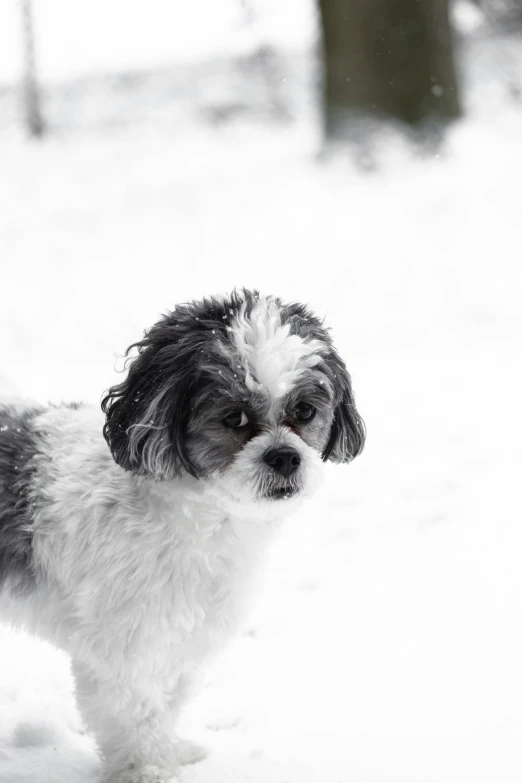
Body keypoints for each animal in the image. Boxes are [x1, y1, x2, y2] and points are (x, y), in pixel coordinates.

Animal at [0, 290, 362, 783]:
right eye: (233, 418)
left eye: (304, 412)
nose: (285, 456)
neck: (201, 517)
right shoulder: (125, 647)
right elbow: (134, 715)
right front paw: (148, 769)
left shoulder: (188, 640)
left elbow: (167, 705)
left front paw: (169, 751)